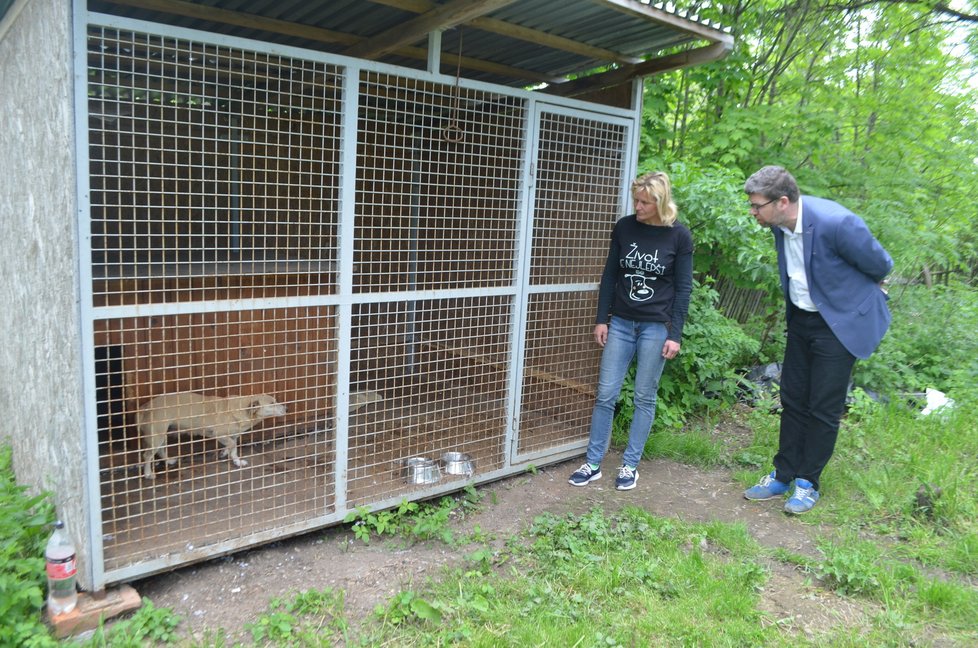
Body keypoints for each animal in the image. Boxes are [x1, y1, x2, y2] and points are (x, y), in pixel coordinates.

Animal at [139, 392, 288, 478]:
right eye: (272, 403)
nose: (287, 408)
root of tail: (145, 407)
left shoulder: (233, 435)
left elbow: (234, 447)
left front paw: (235, 460)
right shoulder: (218, 433)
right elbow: (232, 445)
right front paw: (226, 453)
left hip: (162, 436)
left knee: (160, 450)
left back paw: (169, 461)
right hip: (157, 436)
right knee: (147, 455)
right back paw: (148, 473)